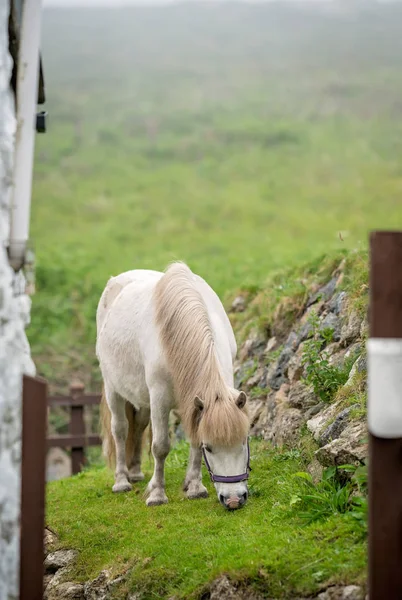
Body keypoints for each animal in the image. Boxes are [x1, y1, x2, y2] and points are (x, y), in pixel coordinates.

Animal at [96, 262, 250, 510]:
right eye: (210, 447)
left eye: (244, 441)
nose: (234, 500)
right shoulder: (160, 399)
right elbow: (160, 447)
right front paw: (158, 494)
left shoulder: (194, 405)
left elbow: (193, 440)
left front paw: (194, 487)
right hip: (113, 389)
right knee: (120, 429)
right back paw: (122, 481)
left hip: (142, 398)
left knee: (139, 425)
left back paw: (136, 472)